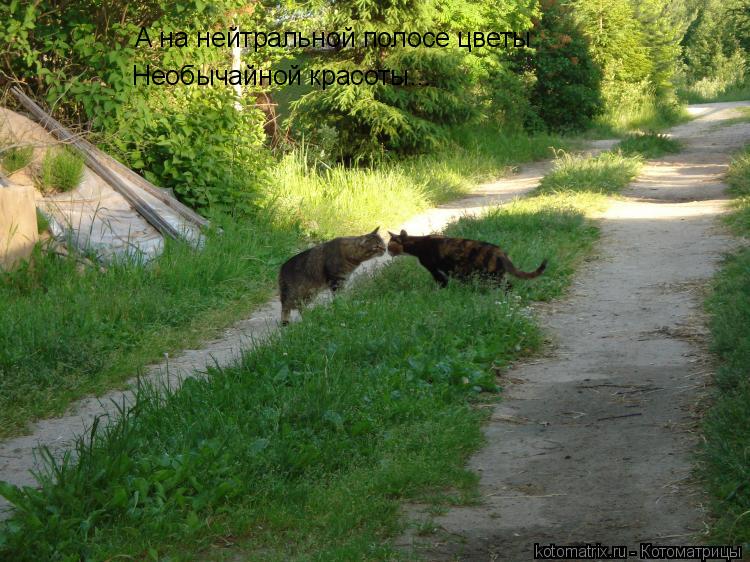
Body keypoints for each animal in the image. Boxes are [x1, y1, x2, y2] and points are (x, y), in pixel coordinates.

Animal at [388, 229, 548, 286]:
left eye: (390, 246)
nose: (387, 252)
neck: (418, 243)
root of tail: (501, 252)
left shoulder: (435, 269)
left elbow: (441, 281)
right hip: (496, 275)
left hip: (490, 275)